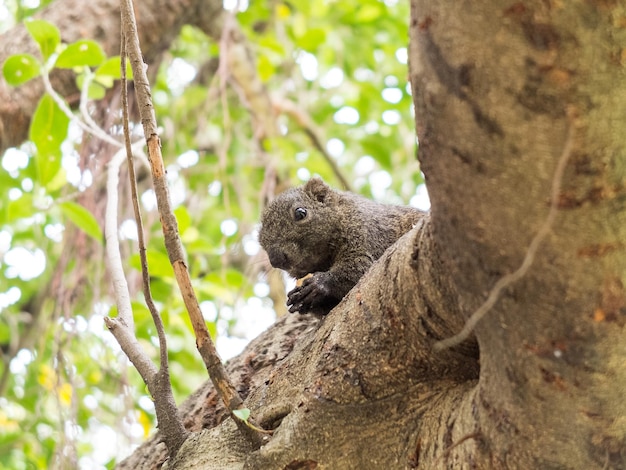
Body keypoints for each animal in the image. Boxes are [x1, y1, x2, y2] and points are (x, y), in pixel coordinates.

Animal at [258, 177, 424, 316]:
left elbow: (359, 269)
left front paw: (319, 283)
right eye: (260, 240)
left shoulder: (367, 233)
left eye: (300, 213)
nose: (276, 260)